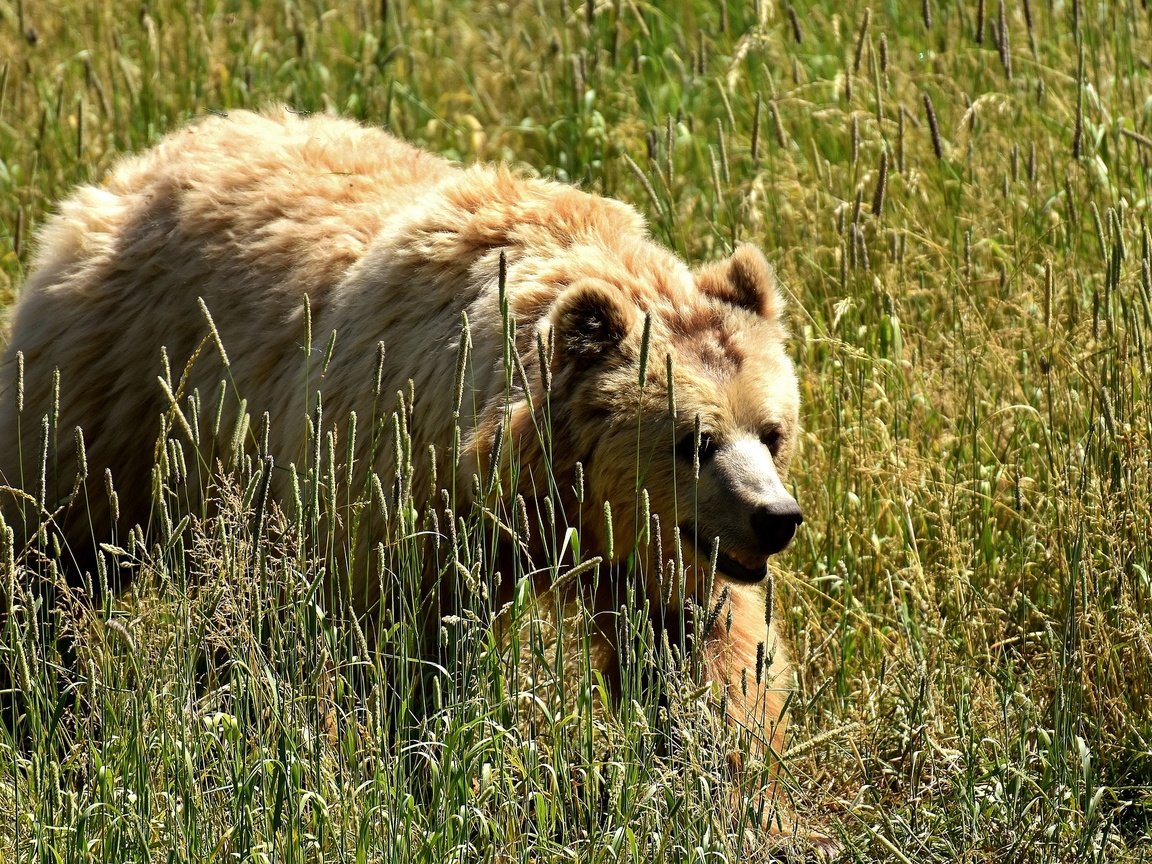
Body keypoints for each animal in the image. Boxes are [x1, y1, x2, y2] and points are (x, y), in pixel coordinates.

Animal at [2, 106, 829, 852]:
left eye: (772, 431)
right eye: (696, 441)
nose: (775, 517)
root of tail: (154, 156)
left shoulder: (659, 555)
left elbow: (705, 657)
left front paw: (736, 801)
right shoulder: (401, 491)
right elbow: (405, 652)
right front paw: (416, 780)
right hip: (115, 396)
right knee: (52, 552)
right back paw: (44, 696)